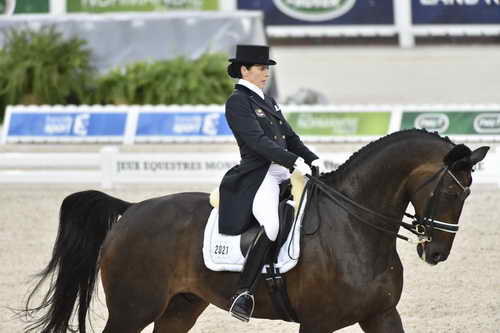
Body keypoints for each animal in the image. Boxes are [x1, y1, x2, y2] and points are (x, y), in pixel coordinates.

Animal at [22, 130, 488, 332]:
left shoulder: (381, 314)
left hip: (180, 307)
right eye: (451, 189)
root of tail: (132, 210)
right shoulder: (318, 323)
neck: (356, 229)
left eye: (469, 192)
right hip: (132, 309)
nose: (436, 252)